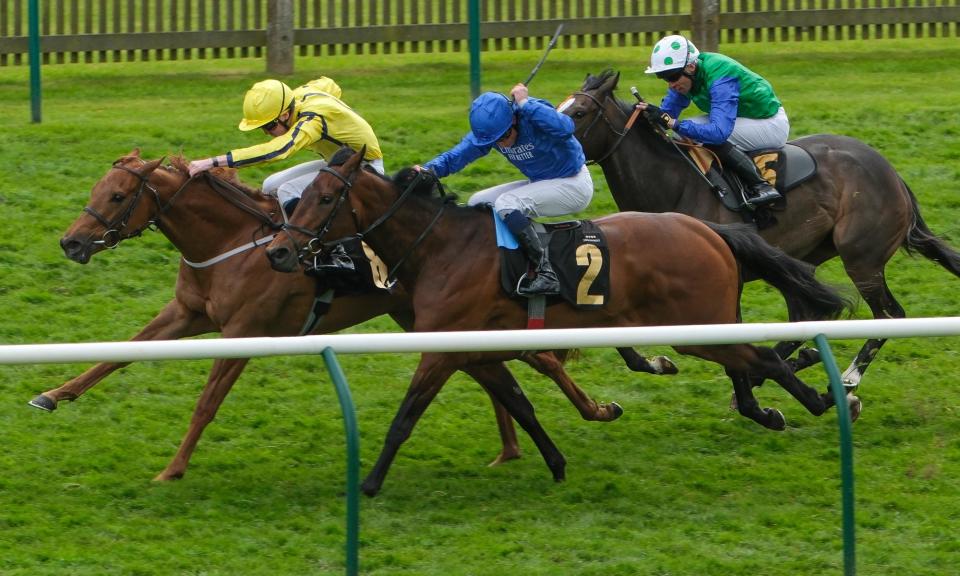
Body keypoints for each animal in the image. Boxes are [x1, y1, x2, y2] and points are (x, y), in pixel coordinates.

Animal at [45, 150, 624, 482]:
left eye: (118, 195)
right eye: (97, 191)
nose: (70, 242)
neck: (231, 242)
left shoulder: (244, 332)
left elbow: (206, 404)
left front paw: (173, 469)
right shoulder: (188, 313)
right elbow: (118, 356)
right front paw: (53, 394)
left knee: (535, 359)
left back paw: (591, 412)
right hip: (421, 317)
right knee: (492, 368)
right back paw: (511, 447)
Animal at [262, 145, 848, 496]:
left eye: (326, 197)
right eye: (301, 197)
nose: (280, 253)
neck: (441, 248)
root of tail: (706, 228)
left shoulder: (443, 350)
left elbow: (405, 416)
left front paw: (368, 483)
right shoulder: (477, 349)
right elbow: (519, 403)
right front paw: (556, 462)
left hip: (695, 328)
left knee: (765, 358)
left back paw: (821, 401)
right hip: (704, 327)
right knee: (752, 363)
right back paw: (779, 407)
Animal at [560, 70, 960, 390]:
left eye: (579, 112)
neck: (676, 184)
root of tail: (891, 173)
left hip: (862, 260)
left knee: (890, 315)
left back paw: (848, 376)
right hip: (806, 258)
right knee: (807, 316)